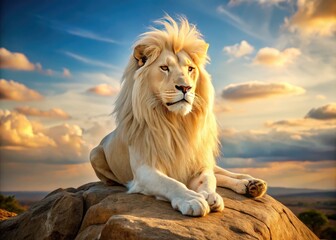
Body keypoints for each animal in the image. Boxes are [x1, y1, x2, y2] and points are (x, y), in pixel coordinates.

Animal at [90, 15, 268, 217]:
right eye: (164, 68)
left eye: (190, 69)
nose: (185, 87)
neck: (176, 122)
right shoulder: (144, 171)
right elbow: (171, 183)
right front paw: (192, 200)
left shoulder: (196, 163)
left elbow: (209, 179)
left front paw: (210, 196)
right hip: (94, 153)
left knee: (220, 173)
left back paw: (251, 183)